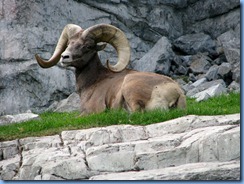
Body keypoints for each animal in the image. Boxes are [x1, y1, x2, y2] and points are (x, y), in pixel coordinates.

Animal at [34, 23, 187, 115]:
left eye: (88, 46)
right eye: (69, 43)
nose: (64, 57)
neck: (93, 82)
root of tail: (176, 91)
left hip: (130, 87)